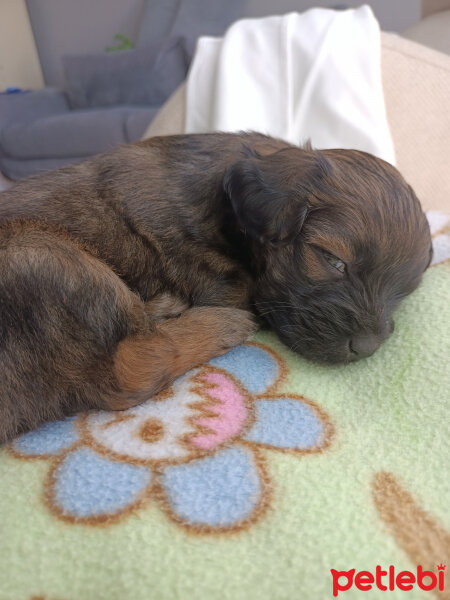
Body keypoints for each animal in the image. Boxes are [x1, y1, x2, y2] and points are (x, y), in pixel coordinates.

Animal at [0, 132, 432, 440]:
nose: (367, 347)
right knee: (135, 367)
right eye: (332, 259)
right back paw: (221, 324)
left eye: (404, 293)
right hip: (43, 255)